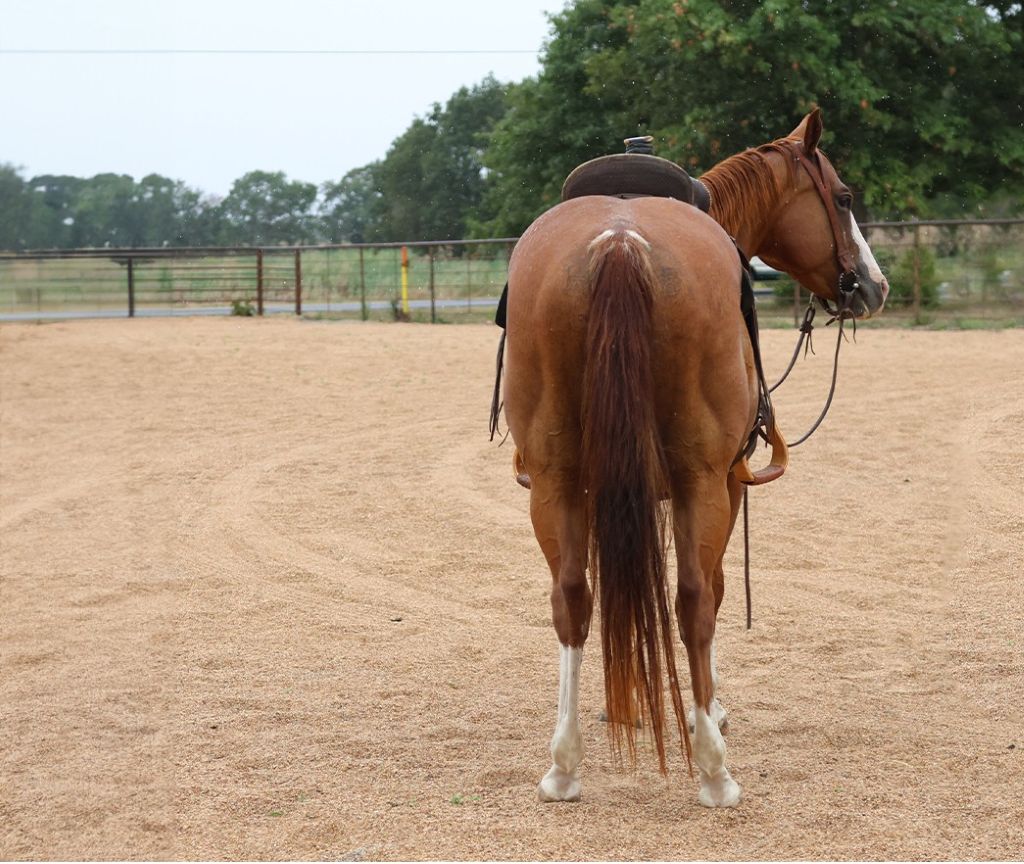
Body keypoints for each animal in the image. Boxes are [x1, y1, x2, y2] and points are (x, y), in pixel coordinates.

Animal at [498, 109, 888, 808]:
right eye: (843, 198)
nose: (873, 285)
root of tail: (620, 243)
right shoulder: (724, 483)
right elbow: (712, 589)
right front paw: (707, 710)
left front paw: (623, 700)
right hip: (701, 480)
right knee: (694, 601)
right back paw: (713, 769)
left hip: (555, 477)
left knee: (571, 597)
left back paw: (564, 766)